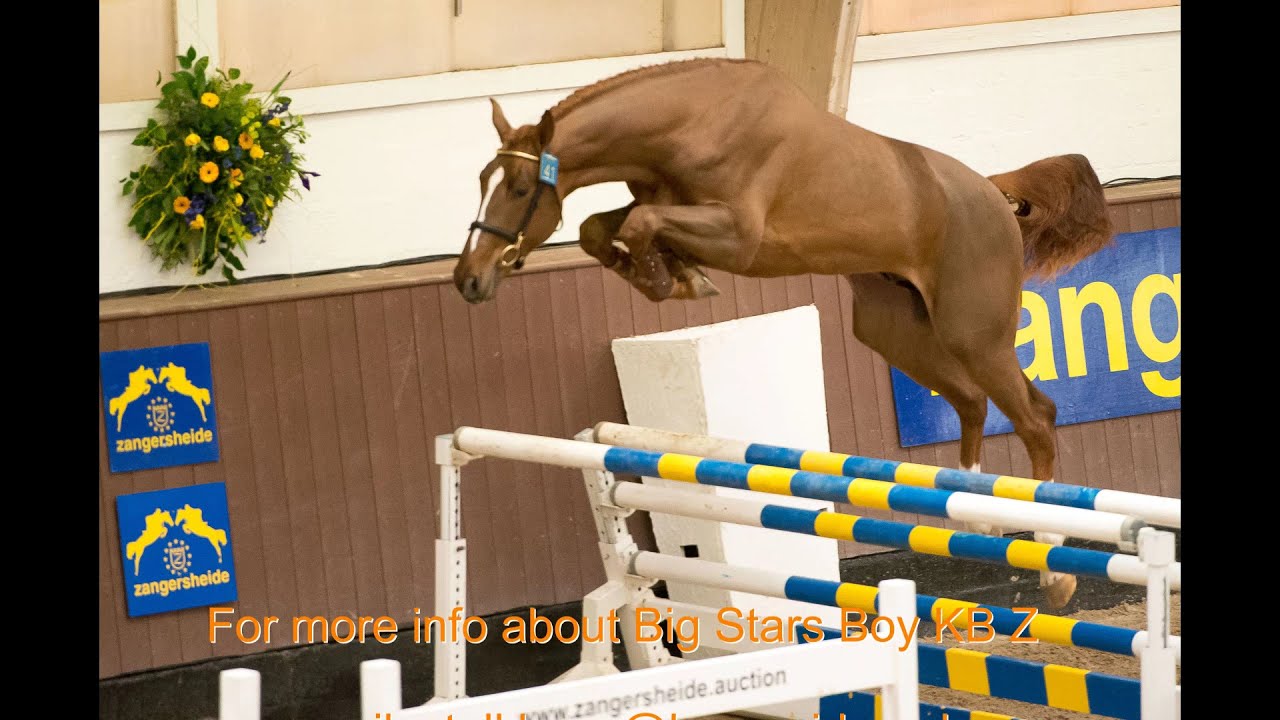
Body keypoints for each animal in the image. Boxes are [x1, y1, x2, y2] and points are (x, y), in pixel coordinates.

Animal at [451, 58, 1112, 608]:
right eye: (480, 180)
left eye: (517, 189)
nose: (469, 279)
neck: (691, 123)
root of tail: (996, 194)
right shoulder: (662, 207)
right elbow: (600, 227)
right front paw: (667, 275)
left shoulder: (737, 236)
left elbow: (637, 225)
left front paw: (673, 277)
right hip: (894, 329)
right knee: (972, 401)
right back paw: (976, 516)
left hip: (973, 332)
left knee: (1035, 416)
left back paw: (1055, 569)